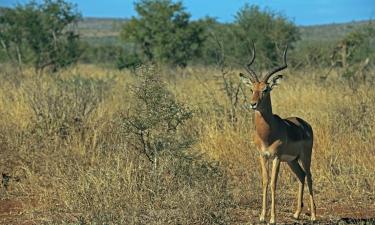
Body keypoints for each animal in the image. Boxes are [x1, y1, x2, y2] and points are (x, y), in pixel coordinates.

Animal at [241, 45, 318, 223]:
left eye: (266, 89)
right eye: (251, 89)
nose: (253, 104)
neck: (268, 134)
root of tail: (304, 124)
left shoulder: (276, 157)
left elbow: (273, 183)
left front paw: (272, 219)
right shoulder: (263, 156)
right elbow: (264, 181)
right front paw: (262, 216)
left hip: (305, 157)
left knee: (309, 176)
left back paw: (313, 216)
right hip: (292, 161)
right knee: (301, 176)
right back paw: (296, 214)